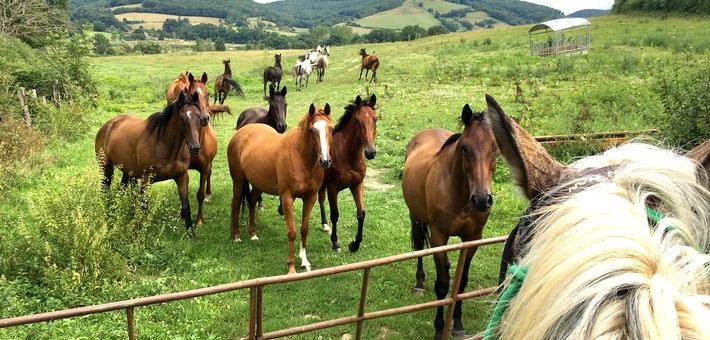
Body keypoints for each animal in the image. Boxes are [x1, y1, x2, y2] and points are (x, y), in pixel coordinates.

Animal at [94, 91, 203, 238]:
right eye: (182, 117)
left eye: (198, 116)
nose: (195, 148)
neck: (164, 144)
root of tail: (108, 125)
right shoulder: (147, 179)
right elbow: (143, 206)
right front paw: (137, 233)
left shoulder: (182, 177)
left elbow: (186, 207)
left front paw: (191, 234)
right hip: (105, 168)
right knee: (106, 191)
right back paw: (108, 218)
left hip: (128, 173)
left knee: (119, 193)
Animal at [231, 103, 336, 274]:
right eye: (312, 130)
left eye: (331, 129)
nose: (325, 161)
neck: (301, 159)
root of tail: (240, 132)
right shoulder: (287, 198)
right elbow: (292, 232)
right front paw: (291, 266)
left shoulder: (310, 197)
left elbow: (304, 229)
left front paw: (304, 261)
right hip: (238, 181)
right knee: (235, 204)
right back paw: (236, 236)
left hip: (259, 184)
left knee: (252, 202)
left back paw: (253, 234)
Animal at [320, 93, 382, 252]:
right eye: (357, 120)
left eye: (375, 119)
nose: (370, 152)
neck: (347, 156)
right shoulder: (333, 188)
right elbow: (335, 215)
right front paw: (335, 243)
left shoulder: (357, 184)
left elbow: (361, 213)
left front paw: (355, 244)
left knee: (320, 200)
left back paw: (325, 225)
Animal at [404, 102, 498, 340]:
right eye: (465, 147)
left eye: (495, 147)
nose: (481, 200)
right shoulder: (439, 236)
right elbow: (442, 284)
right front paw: (439, 329)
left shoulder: (473, 238)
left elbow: (460, 283)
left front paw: (458, 324)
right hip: (415, 217)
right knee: (420, 245)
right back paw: (419, 284)